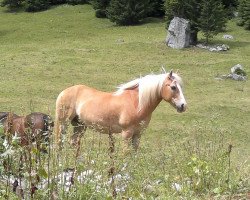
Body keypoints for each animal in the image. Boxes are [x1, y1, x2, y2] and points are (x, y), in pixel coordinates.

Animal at [55, 70, 188, 150]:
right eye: (173, 87)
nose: (183, 106)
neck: (136, 103)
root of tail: (64, 92)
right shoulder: (127, 133)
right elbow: (126, 153)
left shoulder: (138, 134)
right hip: (64, 123)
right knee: (59, 142)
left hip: (80, 126)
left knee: (73, 142)